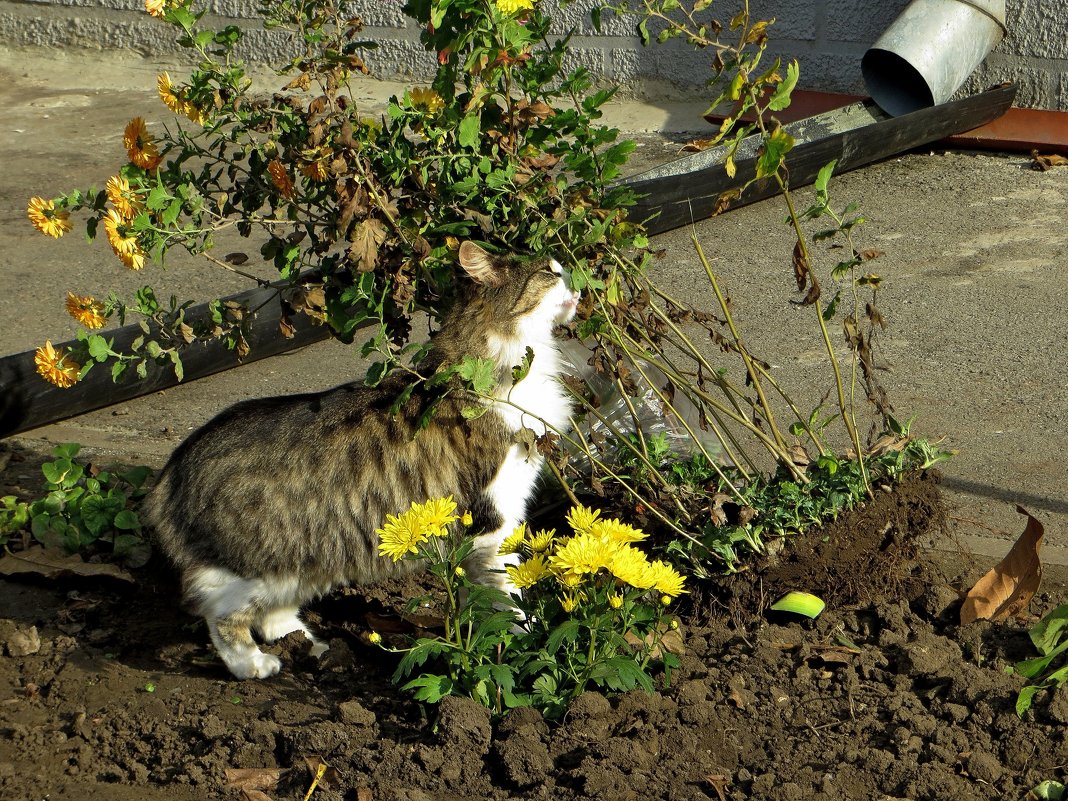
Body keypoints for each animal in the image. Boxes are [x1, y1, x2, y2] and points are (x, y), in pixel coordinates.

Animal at [145, 240, 580, 679]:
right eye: (549, 272)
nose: (574, 277)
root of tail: (176, 463)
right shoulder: (495, 518)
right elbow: (511, 595)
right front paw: (530, 642)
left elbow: (482, 598)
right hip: (260, 567)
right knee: (220, 615)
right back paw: (254, 664)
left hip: (306, 562)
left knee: (273, 617)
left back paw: (314, 646)